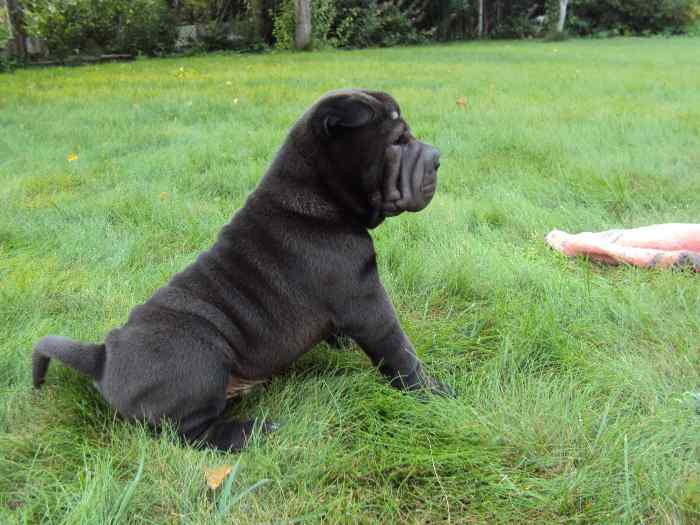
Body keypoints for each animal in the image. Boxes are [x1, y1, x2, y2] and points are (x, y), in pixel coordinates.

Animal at [32, 88, 452, 448]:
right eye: (398, 142)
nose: (437, 157)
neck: (317, 196)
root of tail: (102, 356)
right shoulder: (367, 301)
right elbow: (399, 350)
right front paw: (432, 391)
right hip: (200, 358)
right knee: (187, 433)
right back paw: (253, 431)